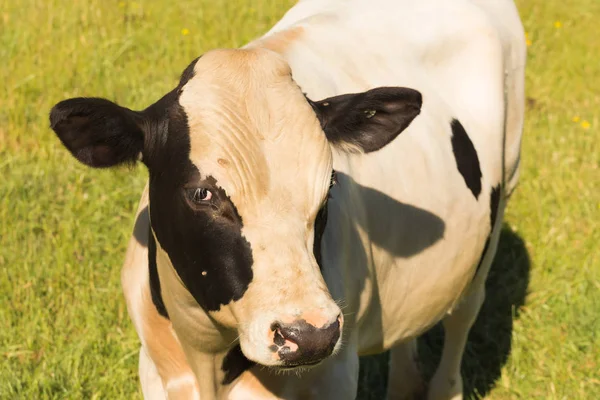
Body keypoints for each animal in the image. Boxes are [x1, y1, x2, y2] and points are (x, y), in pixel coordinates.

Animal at [48, 0, 524, 398]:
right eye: (202, 193)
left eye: (329, 185)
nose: (309, 334)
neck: (208, 359)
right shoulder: (156, 370)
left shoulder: (333, 376)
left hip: (499, 207)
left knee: (463, 317)